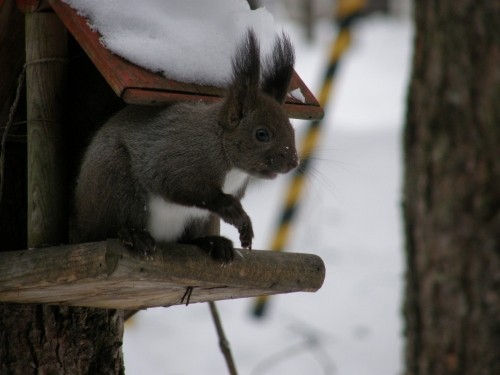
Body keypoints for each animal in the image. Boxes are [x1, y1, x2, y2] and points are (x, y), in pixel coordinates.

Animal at [70, 29, 296, 262]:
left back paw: (213, 243)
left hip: (198, 221)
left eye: (291, 128)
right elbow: (179, 186)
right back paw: (134, 236)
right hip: (116, 183)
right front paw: (231, 209)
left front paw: (245, 227)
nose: (293, 162)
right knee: (107, 229)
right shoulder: (179, 159)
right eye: (262, 134)